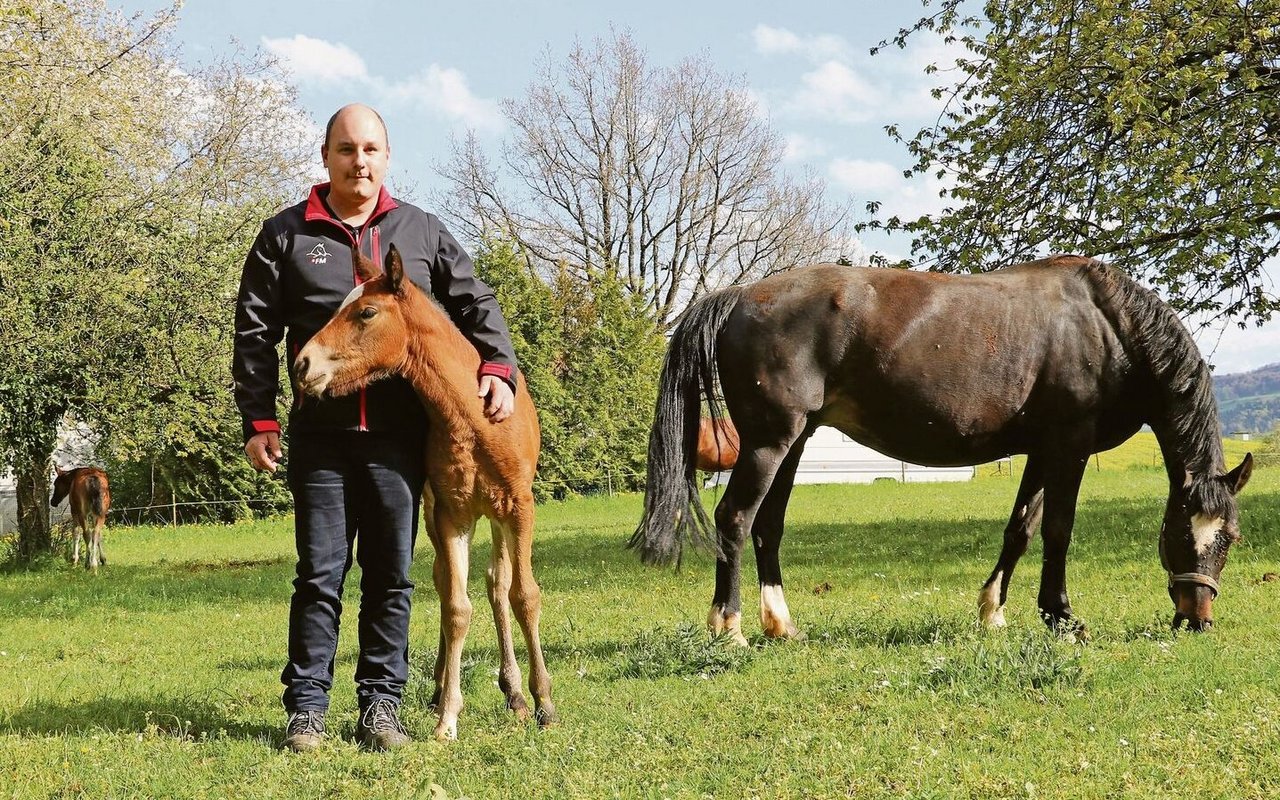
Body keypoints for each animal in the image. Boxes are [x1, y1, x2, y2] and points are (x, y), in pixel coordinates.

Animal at [634, 257, 1254, 642]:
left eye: (1230, 537)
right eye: (1180, 534)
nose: (1198, 618)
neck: (1107, 328)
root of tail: (739, 295)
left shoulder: (1041, 450)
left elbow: (1020, 529)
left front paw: (994, 612)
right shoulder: (1070, 446)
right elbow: (1058, 530)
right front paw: (1061, 617)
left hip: (793, 443)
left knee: (767, 527)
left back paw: (781, 625)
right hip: (768, 443)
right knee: (735, 519)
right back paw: (730, 626)